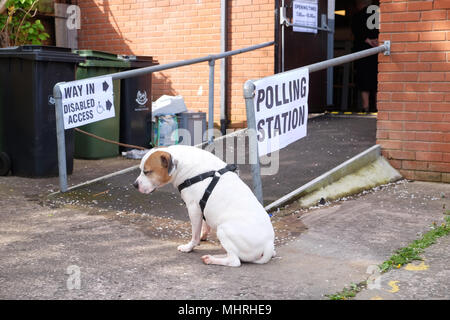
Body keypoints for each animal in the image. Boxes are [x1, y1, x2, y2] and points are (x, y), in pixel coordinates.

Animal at [134, 146, 274, 268]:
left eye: (147, 172)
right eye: (141, 170)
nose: (135, 185)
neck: (183, 164)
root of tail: (268, 244)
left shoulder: (193, 209)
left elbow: (195, 235)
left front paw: (189, 247)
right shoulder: (202, 207)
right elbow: (205, 224)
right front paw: (203, 235)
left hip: (224, 229)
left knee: (235, 260)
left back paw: (212, 259)